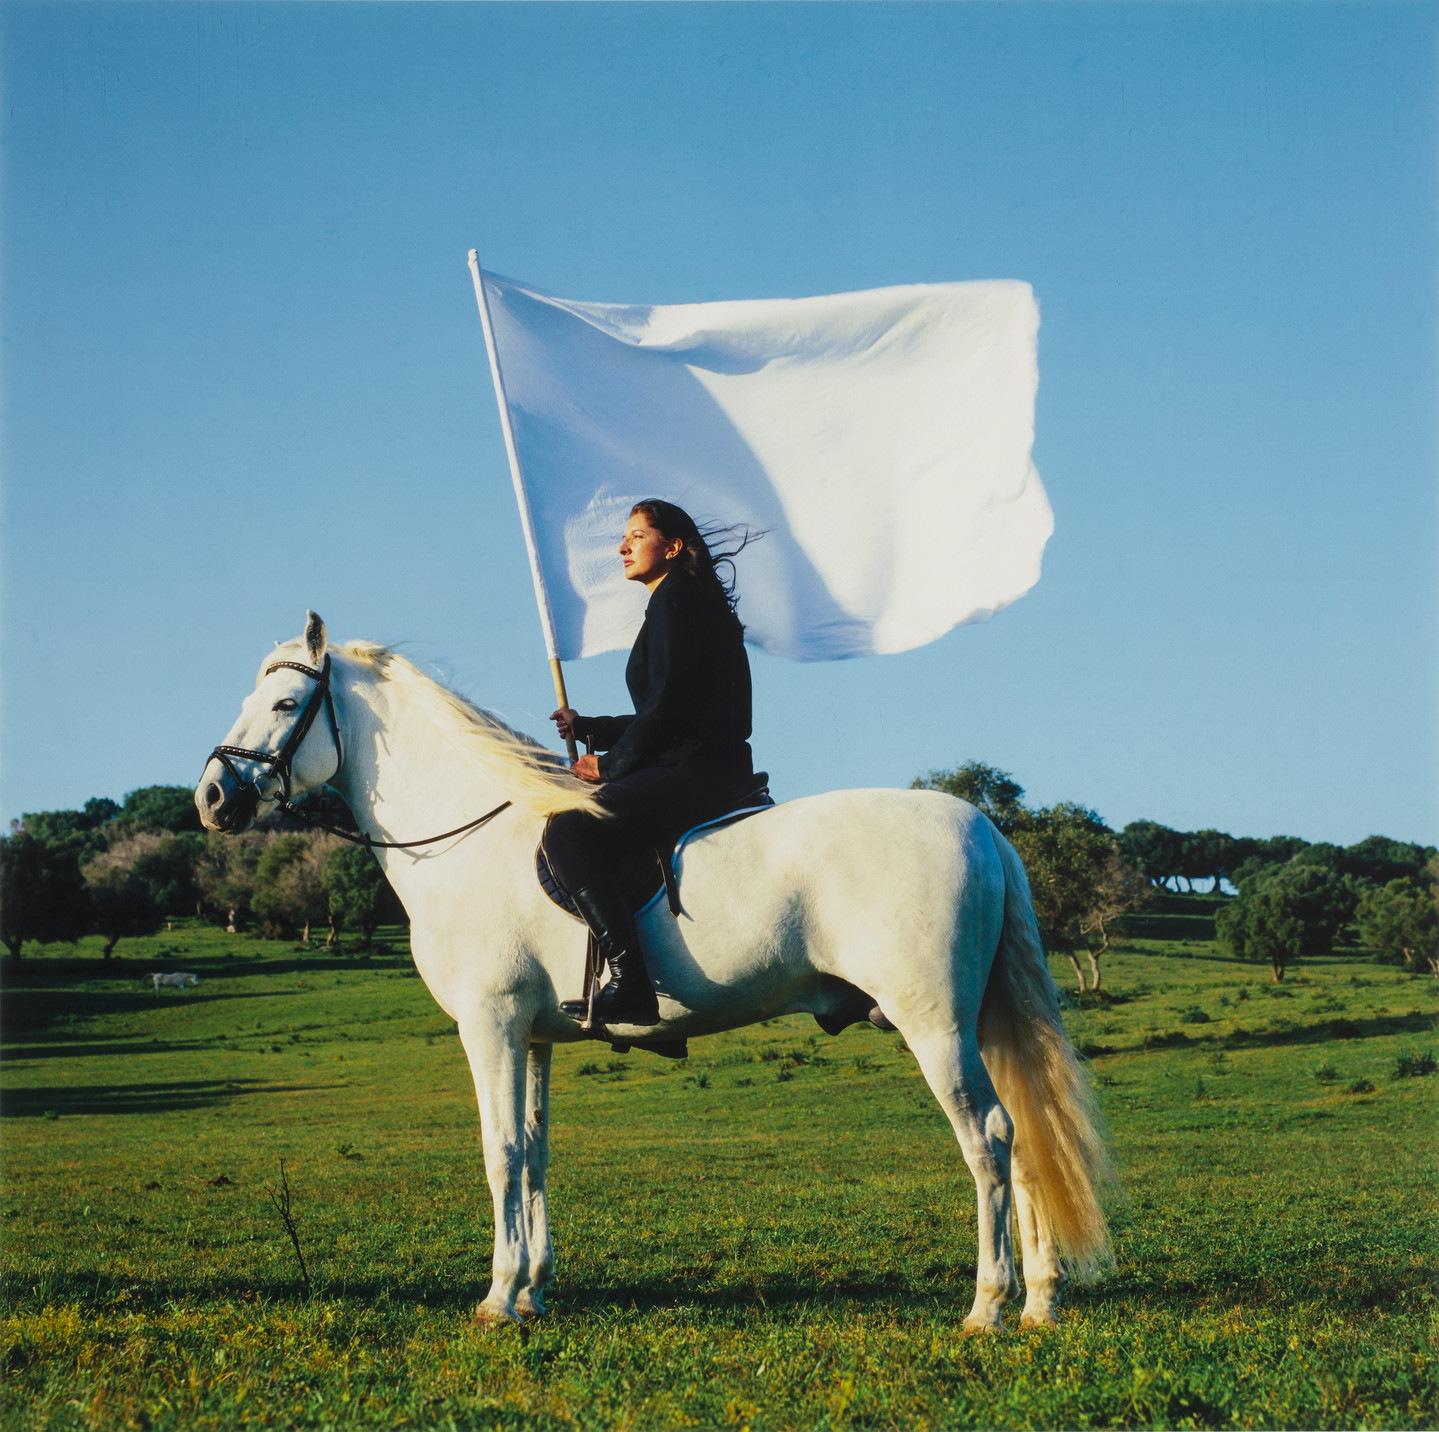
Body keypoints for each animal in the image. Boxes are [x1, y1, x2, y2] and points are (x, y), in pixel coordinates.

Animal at [194, 610, 1110, 1329]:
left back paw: (988, 1306)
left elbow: (499, 1151)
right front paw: (532, 1291)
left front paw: (497, 1298)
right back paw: (1039, 1300)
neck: (470, 834)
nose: (211, 799)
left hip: (935, 1025)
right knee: (1021, 1138)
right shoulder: (535, 1037)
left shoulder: (491, 1024)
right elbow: (534, 1154)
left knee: (987, 1138)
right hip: (975, 1024)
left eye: (285, 704)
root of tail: (979, 824)